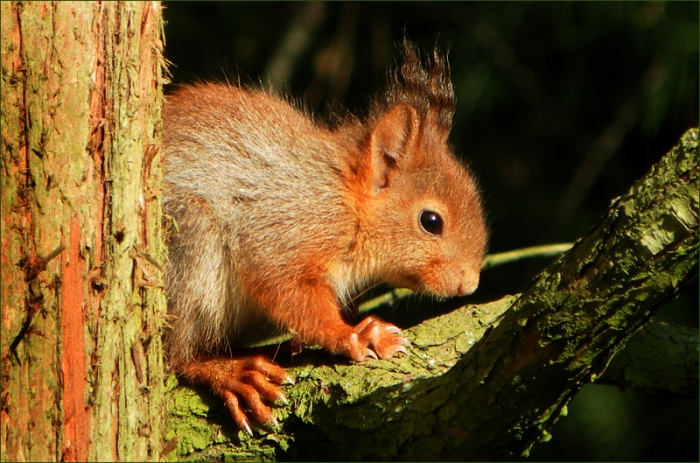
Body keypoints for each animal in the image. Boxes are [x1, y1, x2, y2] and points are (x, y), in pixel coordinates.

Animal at [162, 40, 487, 434]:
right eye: (431, 221)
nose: (469, 284)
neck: (345, 201)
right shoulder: (285, 231)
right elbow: (289, 291)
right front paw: (350, 335)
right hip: (189, 244)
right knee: (177, 355)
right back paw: (229, 372)